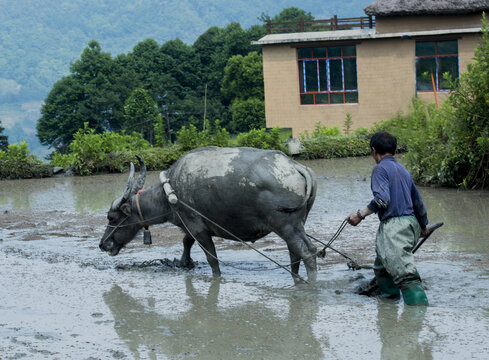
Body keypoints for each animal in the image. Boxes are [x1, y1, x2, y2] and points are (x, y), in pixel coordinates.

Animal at [101, 146, 318, 282]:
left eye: (112, 217)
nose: (103, 244)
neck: (170, 191)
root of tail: (295, 166)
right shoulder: (189, 225)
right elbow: (186, 242)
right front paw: (184, 263)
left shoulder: (198, 228)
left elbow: (212, 258)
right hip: (298, 224)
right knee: (295, 252)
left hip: (286, 225)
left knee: (308, 251)